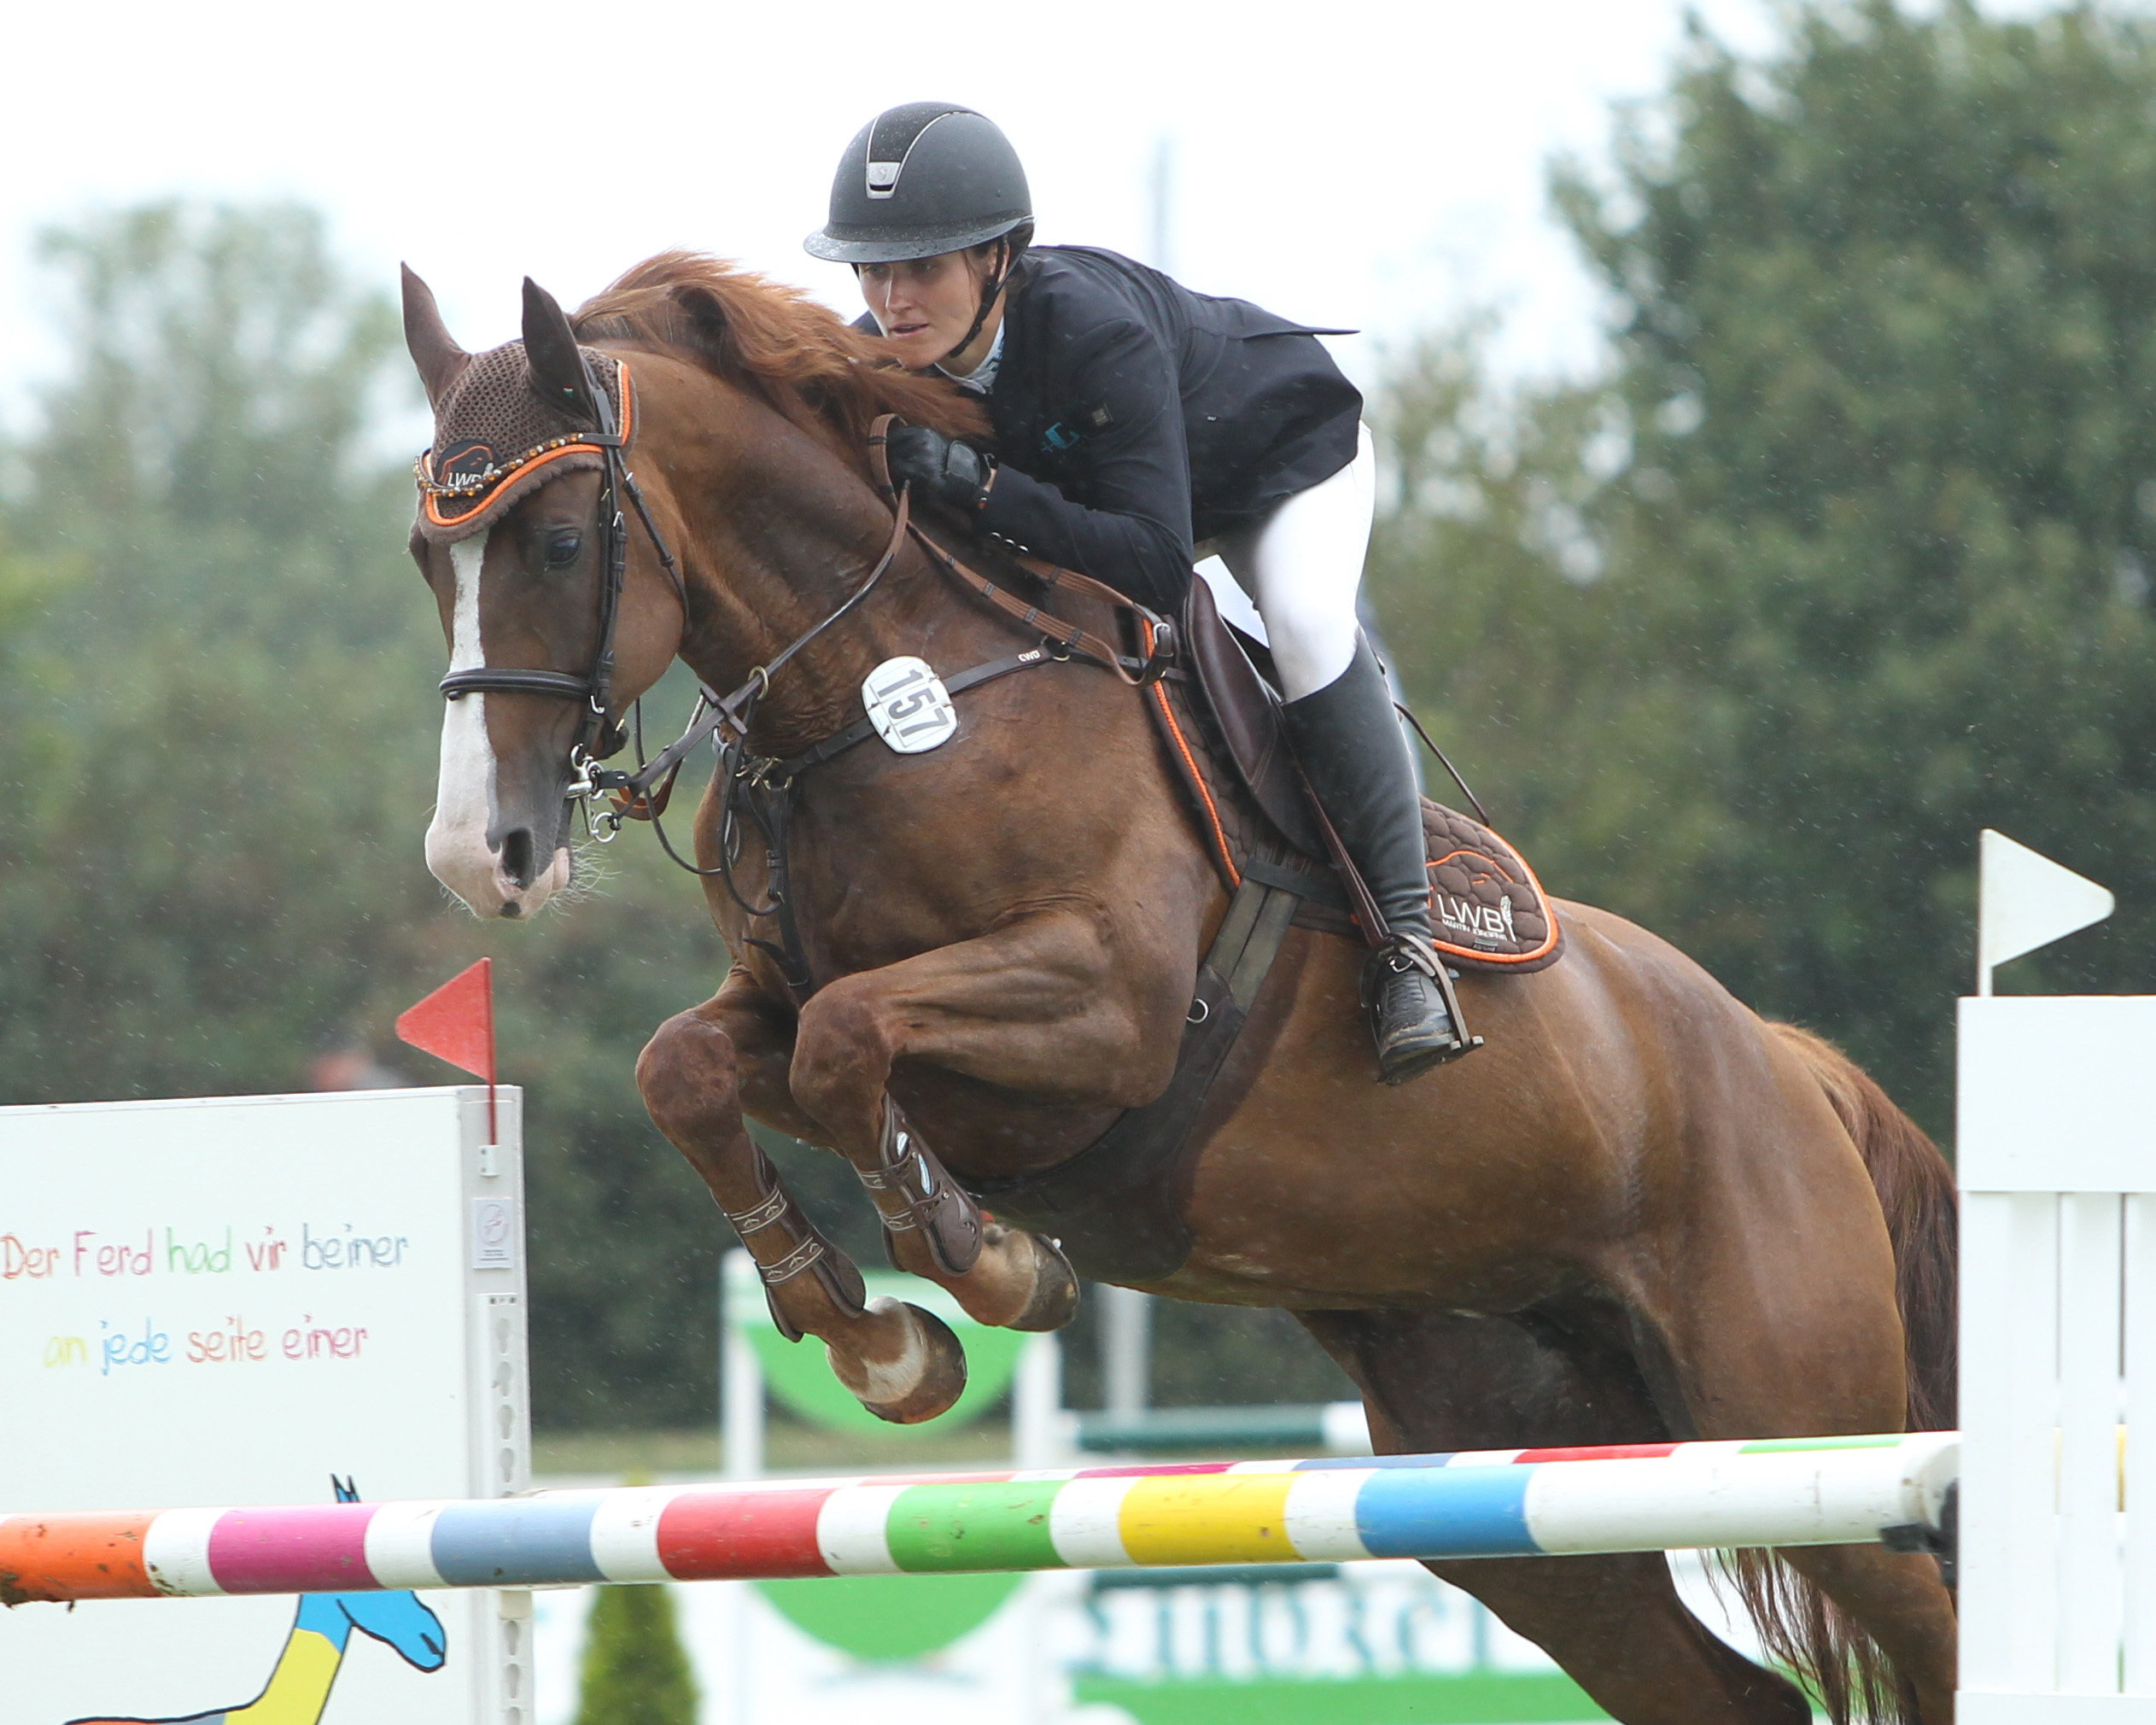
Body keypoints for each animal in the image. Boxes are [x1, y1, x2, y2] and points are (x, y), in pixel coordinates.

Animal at [400, 256, 1957, 1725]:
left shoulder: (1108, 1013)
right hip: (1514, 1458)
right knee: (1729, 1690)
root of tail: (1787, 1061)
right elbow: (688, 1068)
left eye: (556, 539)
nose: (482, 856)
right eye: (427, 553)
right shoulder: (781, 1010)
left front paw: (984, 1264)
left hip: (1800, 1424)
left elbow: (853, 1045)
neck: (875, 701)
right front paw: (880, 1339)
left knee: (1928, 1614)